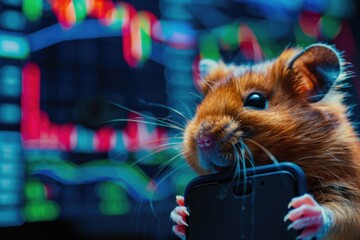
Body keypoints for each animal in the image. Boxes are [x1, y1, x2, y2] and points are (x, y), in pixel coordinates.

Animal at [170, 43, 360, 240]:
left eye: (255, 101)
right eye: (202, 102)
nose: (203, 139)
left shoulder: (347, 189)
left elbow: (339, 215)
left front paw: (305, 211)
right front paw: (179, 213)